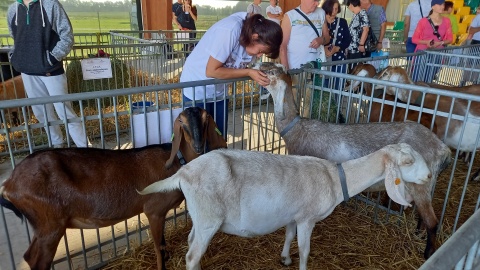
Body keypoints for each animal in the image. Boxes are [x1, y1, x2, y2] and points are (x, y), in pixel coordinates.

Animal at [0, 106, 228, 268]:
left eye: (206, 118)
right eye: (181, 121)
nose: (198, 146)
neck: (175, 163)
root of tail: (9, 184)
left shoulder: (161, 213)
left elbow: (163, 243)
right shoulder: (153, 210)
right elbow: (157, 246)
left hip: (44, 226)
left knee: (30, 256)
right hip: (50, 225)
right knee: (36, 260)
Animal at [139, 144, 432, 268]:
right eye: (407, 162)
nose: (430, 176)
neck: (335, 179)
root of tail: (183, 172)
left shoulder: (294, 215)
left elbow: (289, 237)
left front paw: (284, 258)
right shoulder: (307, 218)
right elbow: (305, 250)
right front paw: (299, 264)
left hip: (200, 217)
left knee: (191, 245)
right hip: (209, 218)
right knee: (191, 255)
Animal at [253, 62, 452, 258]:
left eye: (270, 71)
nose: (256, 66)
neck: (297, 128)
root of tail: (442, 149)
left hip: (420, 184)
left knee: (433, 221)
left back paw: (428, 253)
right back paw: (418, 233)